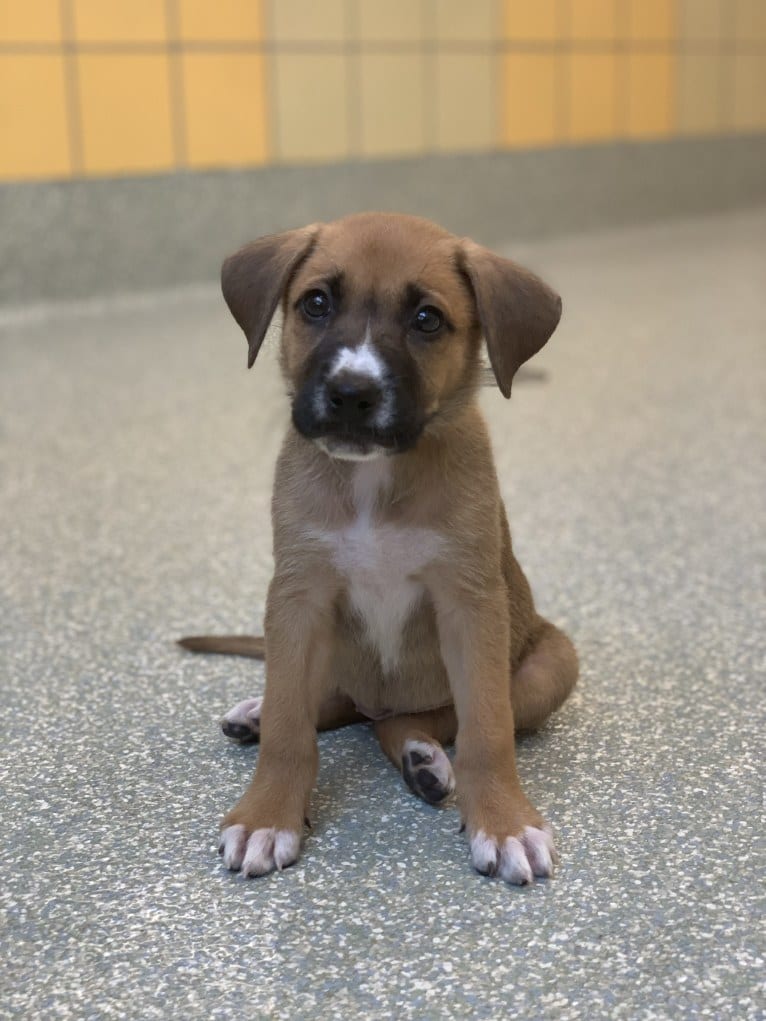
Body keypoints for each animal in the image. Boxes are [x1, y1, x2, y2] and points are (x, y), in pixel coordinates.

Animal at [182, 213, 580, 886]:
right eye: (315, 303)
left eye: (427, 319)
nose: (351, 392)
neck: (374, 477)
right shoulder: (298, 600)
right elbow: (290, 726)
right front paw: (268, 815)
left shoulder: (470, 607)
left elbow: (486, 729)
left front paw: (502, 822)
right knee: (332, 703)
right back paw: (260, 713)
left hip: (553, 661)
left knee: (416, 717)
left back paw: (422, 757)